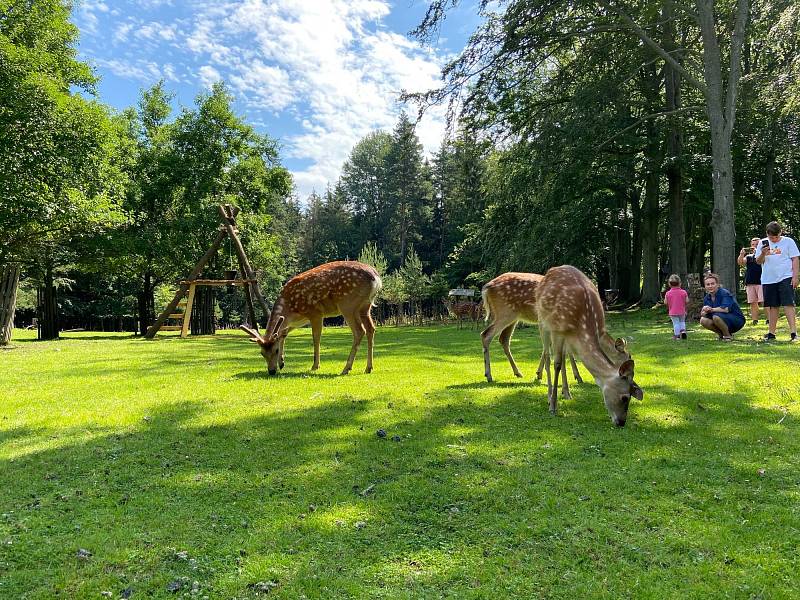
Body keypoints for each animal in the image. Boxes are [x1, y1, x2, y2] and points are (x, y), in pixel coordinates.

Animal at [239, 262, 382, 376]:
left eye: (276, 350)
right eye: (261, 353)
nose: (272, 371)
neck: (289, 308)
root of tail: (376, 278)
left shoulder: (315, 313)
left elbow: (316, 338)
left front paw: (315, 366)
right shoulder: (297, 321)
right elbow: (283, 334)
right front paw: (282, 362)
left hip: (348, 305)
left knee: (359, 331)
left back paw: (346, 368)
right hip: (365, 307)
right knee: (371, 328)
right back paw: (368, 368)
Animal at [536, 266, 644, 426]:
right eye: (625, 397)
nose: (621, 422)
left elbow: (564, 361)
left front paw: (565, 392)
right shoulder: (558, 330)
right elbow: (557, 364)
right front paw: (553, 407)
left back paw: (566, 392)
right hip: (542, 321)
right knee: (548, 356)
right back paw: (549, 395)